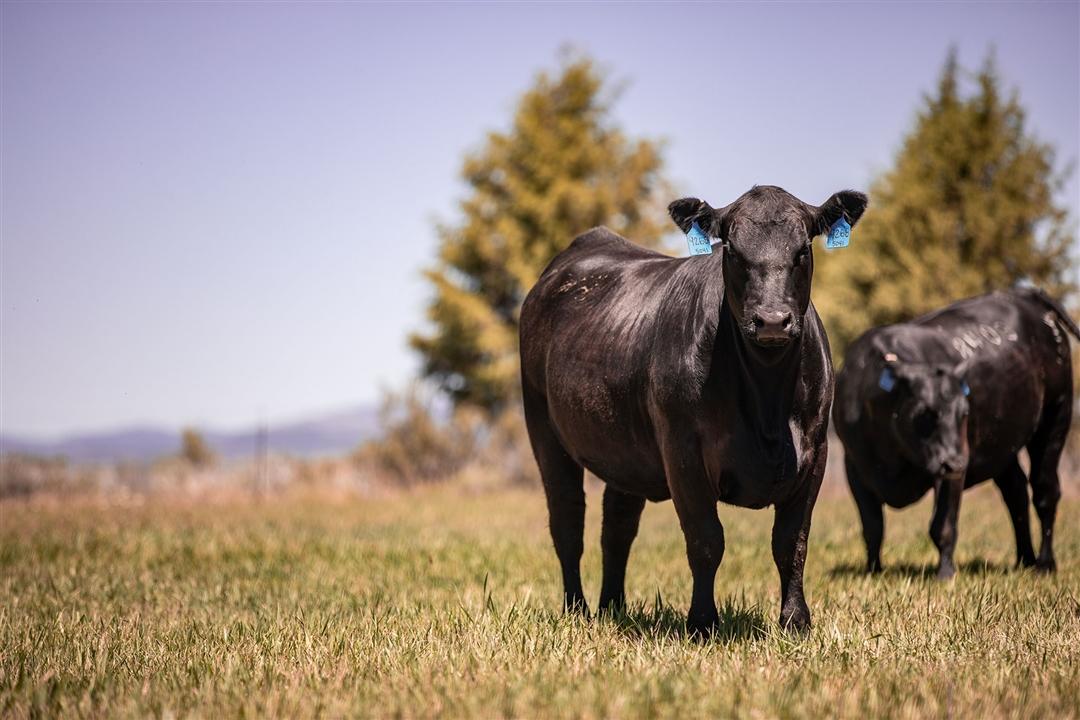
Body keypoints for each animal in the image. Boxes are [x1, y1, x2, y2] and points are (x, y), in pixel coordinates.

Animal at [518, 185, 864, 634]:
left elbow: (792, 542)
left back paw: (613, 607)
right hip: (544, 430)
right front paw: (702, 622)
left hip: (625, 450)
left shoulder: (816, 449)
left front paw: (795, 621)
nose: (772, 320)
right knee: (567, 521)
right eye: (731, 250)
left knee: (617, 527)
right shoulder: (683, 452)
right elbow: (706, 540)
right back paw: (577, 609)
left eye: (803, 249)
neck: (767, 404)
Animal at [833, 289, 1071, 578]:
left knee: (1045, 491)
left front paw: (945, 574)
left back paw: (1045, 564)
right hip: (1002, 446)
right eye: (925, 412)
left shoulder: (954, 466)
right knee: (1016, 493)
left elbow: (943, 525)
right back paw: (1024, 560)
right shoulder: (855, 468)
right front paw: (873, 571)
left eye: (964, 412)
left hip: (1055, 417)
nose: (955, 460)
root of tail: (1023, 294)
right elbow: (872, 526)